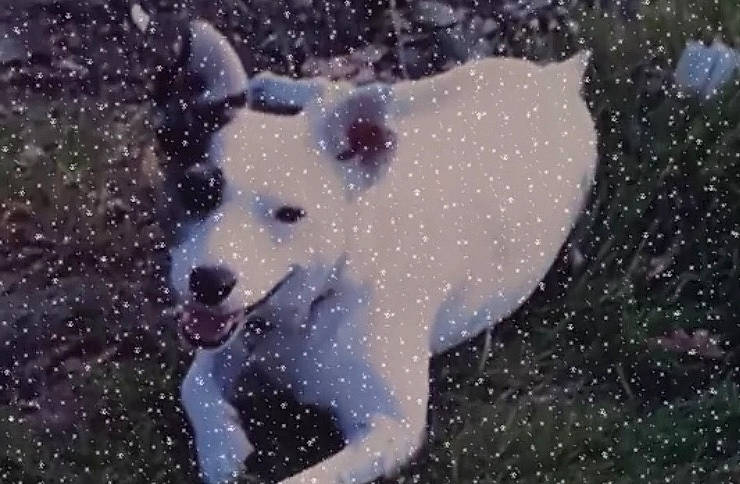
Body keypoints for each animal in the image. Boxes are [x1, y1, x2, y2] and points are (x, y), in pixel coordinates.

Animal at [153, 16, 597, 484]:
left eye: (291, 214)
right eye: (196, 192)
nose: (208, 282)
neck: (327, 293)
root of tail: (557, 82)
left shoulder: (392, 432)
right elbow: (193, 384)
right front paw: (221, 447)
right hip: (411, 98)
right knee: (334, 91)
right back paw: (278, 86)